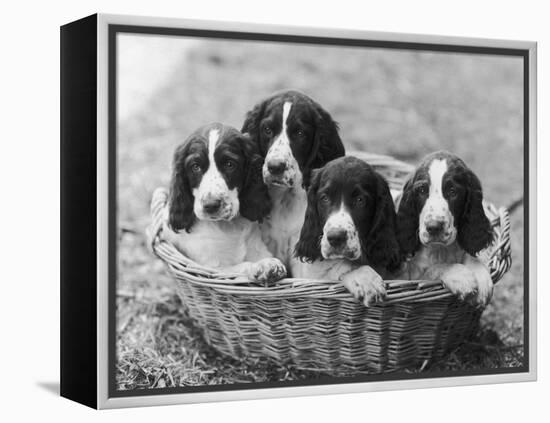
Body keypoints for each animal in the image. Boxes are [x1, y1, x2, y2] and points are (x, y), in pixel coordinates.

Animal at [158, 124, 286, 286]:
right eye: (195, 167)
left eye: (229, 164)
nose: (211, 205)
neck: (229, 227)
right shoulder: (212, 268)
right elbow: (240, 266)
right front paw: (262, 266)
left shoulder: (258, 248)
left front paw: (268, 263)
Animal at [396, 151, 496, 306]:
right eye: (422, 190)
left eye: (453, 191)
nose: (433, 227)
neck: (440, 250)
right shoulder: (408, 277)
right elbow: (431, 270)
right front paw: (460, 276)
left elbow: (470, 255)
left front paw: (481, 276)